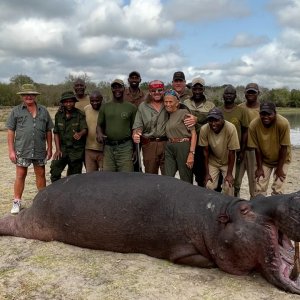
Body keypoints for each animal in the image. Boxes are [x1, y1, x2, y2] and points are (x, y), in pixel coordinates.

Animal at [0, 172, 300, 294]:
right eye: (246, 209)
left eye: (258, 196)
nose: (294, 195)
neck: (215, 217)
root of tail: (38, 198)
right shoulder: (180, 249)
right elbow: (201, 259)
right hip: (38, 225)